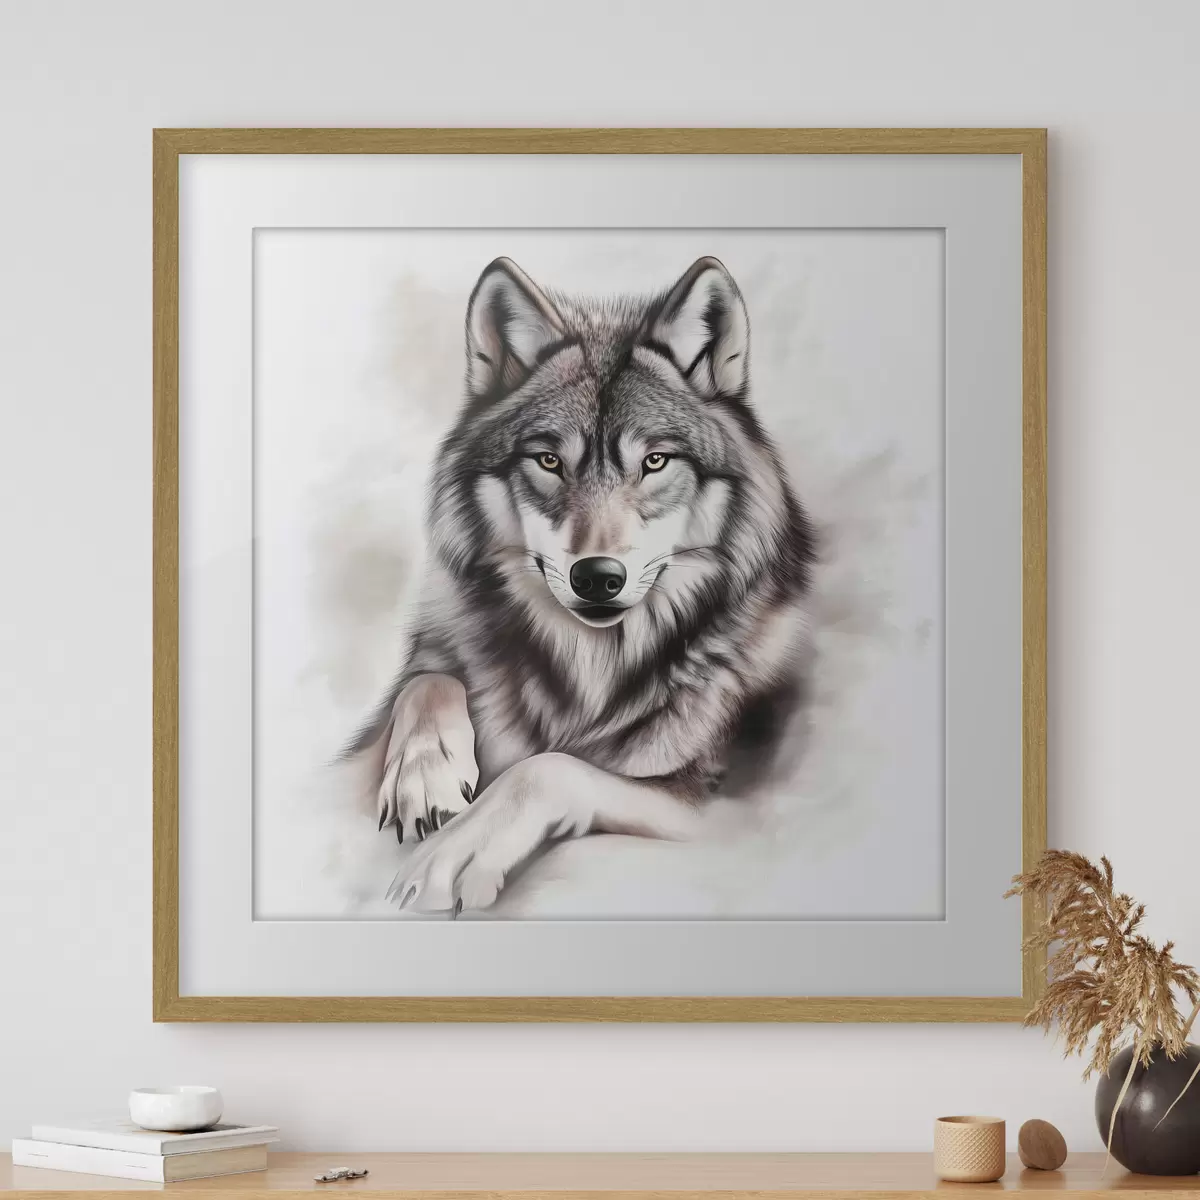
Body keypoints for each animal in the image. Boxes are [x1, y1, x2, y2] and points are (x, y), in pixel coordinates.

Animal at [347, 255, 816, 913]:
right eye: (549, 461)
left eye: (654, 461)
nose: (597, 577)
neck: (590, 667)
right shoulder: (438, 642)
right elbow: (428, 679)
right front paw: (425, 776)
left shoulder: (717, 806)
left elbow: (548, 767)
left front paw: (456, 852)